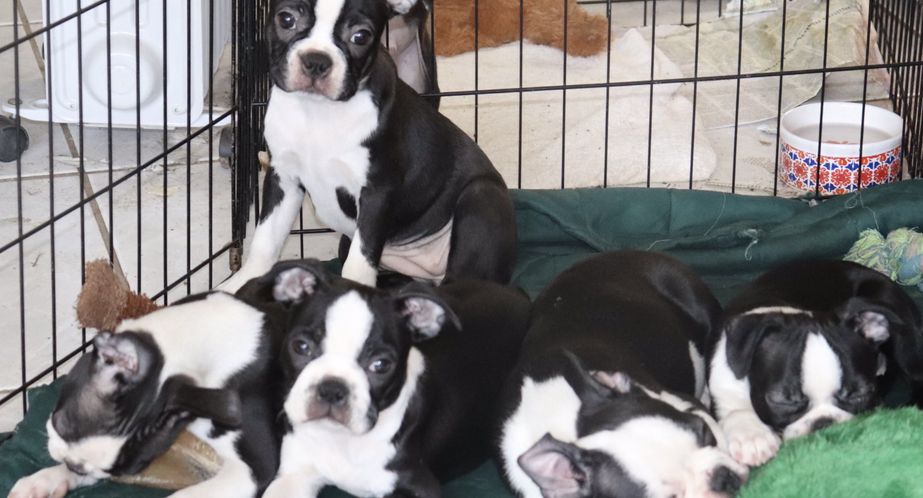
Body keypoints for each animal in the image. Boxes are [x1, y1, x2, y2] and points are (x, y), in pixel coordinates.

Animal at [219, 0, 516, 292]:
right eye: (286, 19)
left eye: (360, 36)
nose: (316, 60)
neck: (318, 111)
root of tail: (430, 272)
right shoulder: (283, 176)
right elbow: (266, 238)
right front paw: (240, 282)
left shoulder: (376, 192)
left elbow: (359, 260)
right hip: (349, 243)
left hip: (481, 197)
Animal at [242, 259, 530, 497]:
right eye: (301, 347)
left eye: (380, 365)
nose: (332, 389)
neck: (343, 441)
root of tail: (517, 294)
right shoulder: (294, 475)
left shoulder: (422, 487)